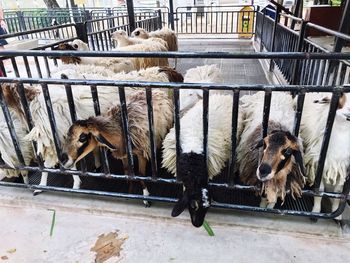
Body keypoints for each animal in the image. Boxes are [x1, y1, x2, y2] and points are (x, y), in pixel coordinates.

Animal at [296, 93, 350, 221]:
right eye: (342, 96)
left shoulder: (342, 168)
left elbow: (338, 192)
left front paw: (337, 215)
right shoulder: (318, 165)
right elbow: (319, 191)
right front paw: (315, 212)